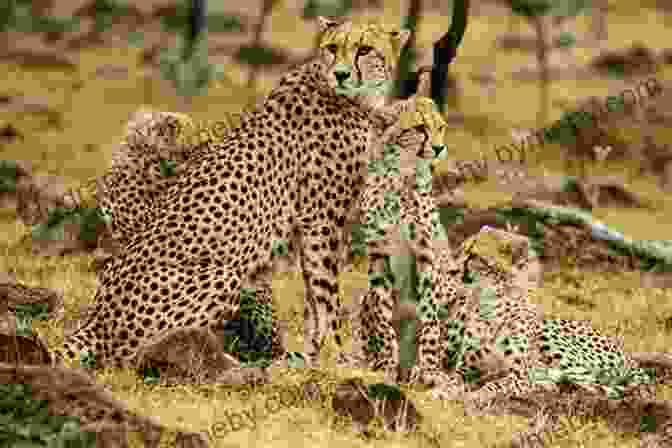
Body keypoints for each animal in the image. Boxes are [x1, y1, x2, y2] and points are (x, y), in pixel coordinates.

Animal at [53, 15, 410, 370]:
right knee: (127, 358)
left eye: (364, 49)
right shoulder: (321, 221)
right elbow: (327, 294)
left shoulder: (310, 227)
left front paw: (314, 355)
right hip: (224, 275)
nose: (341, 74)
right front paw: (339, 356)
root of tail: (96, 316)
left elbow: (313, 294)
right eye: (333, 48)